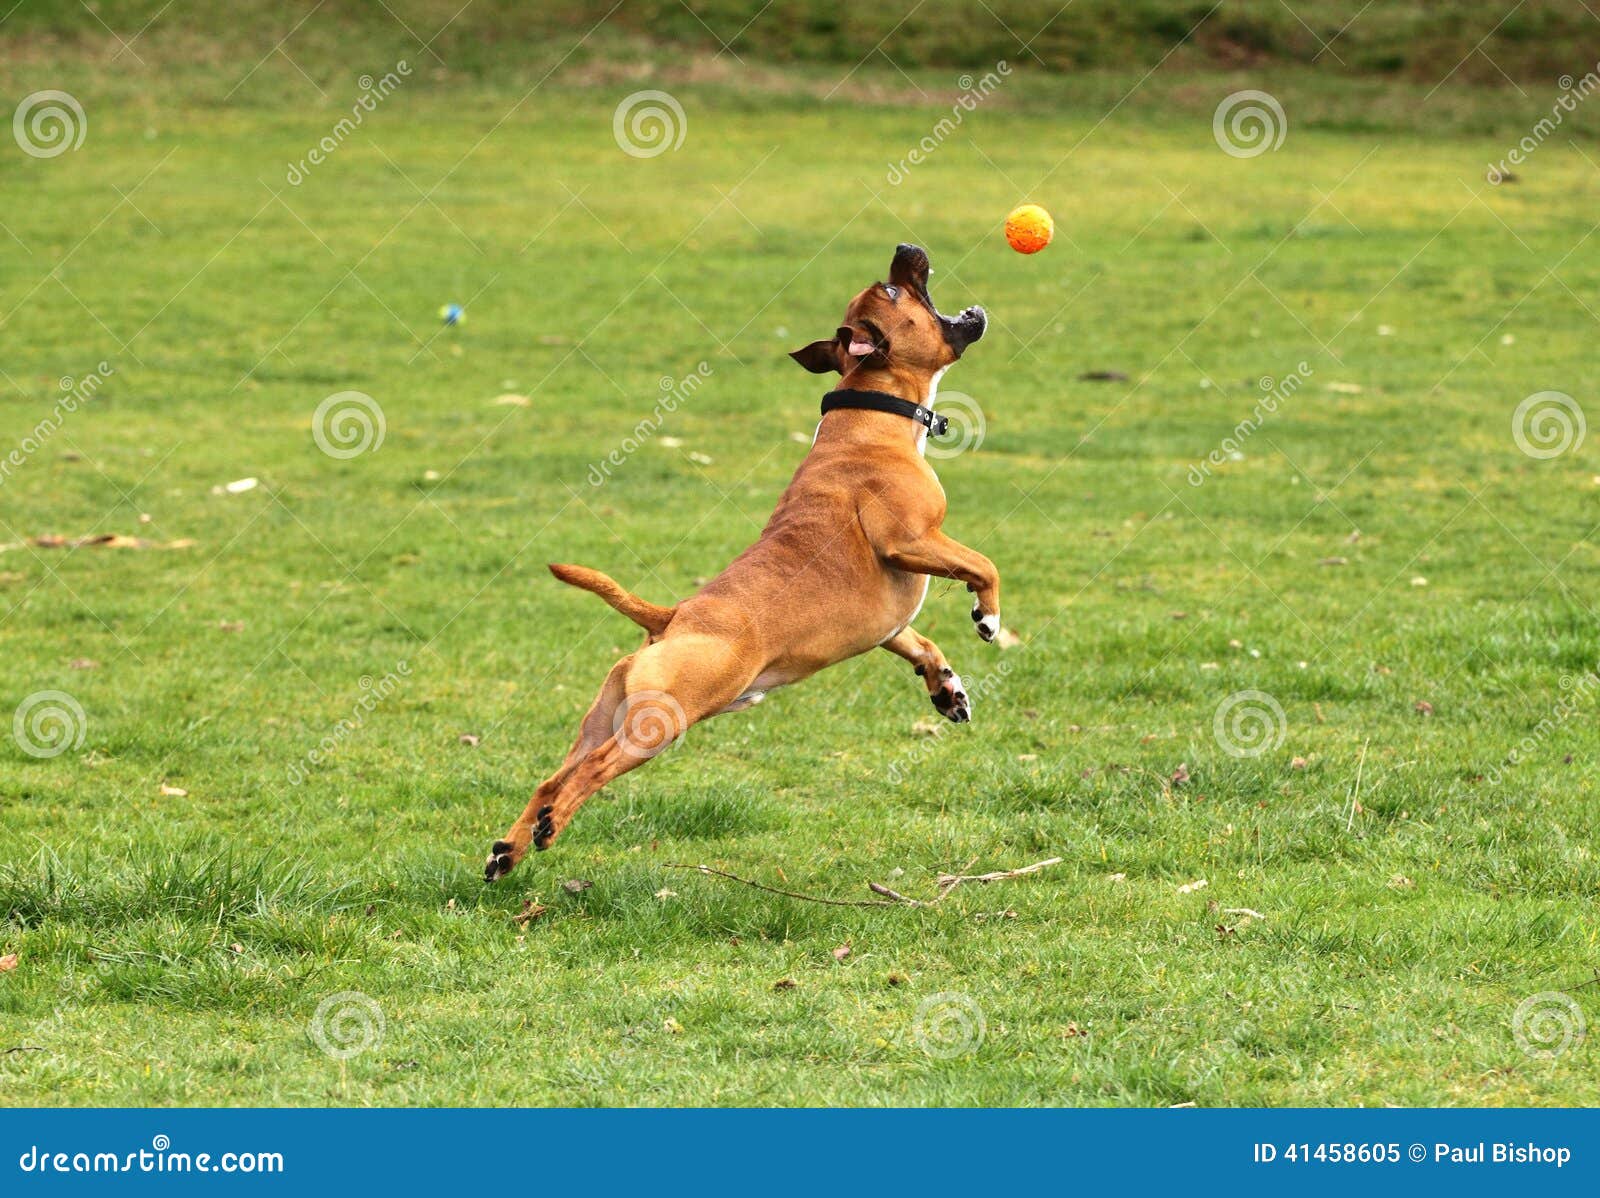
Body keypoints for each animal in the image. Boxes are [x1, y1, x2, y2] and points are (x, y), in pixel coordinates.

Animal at [483, 239, 998, 876]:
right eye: (895, 290)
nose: (906, 247)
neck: (873, 412)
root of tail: (672, 618)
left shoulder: (889, 622)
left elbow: (920, 642)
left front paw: (946, 688)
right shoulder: (912, 542)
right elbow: (982, 564)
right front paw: (987, 616)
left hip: (607, 718)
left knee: (549, 779)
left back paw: (508, 851)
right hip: (659, 724)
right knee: (585, 776)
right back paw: (551, 827)